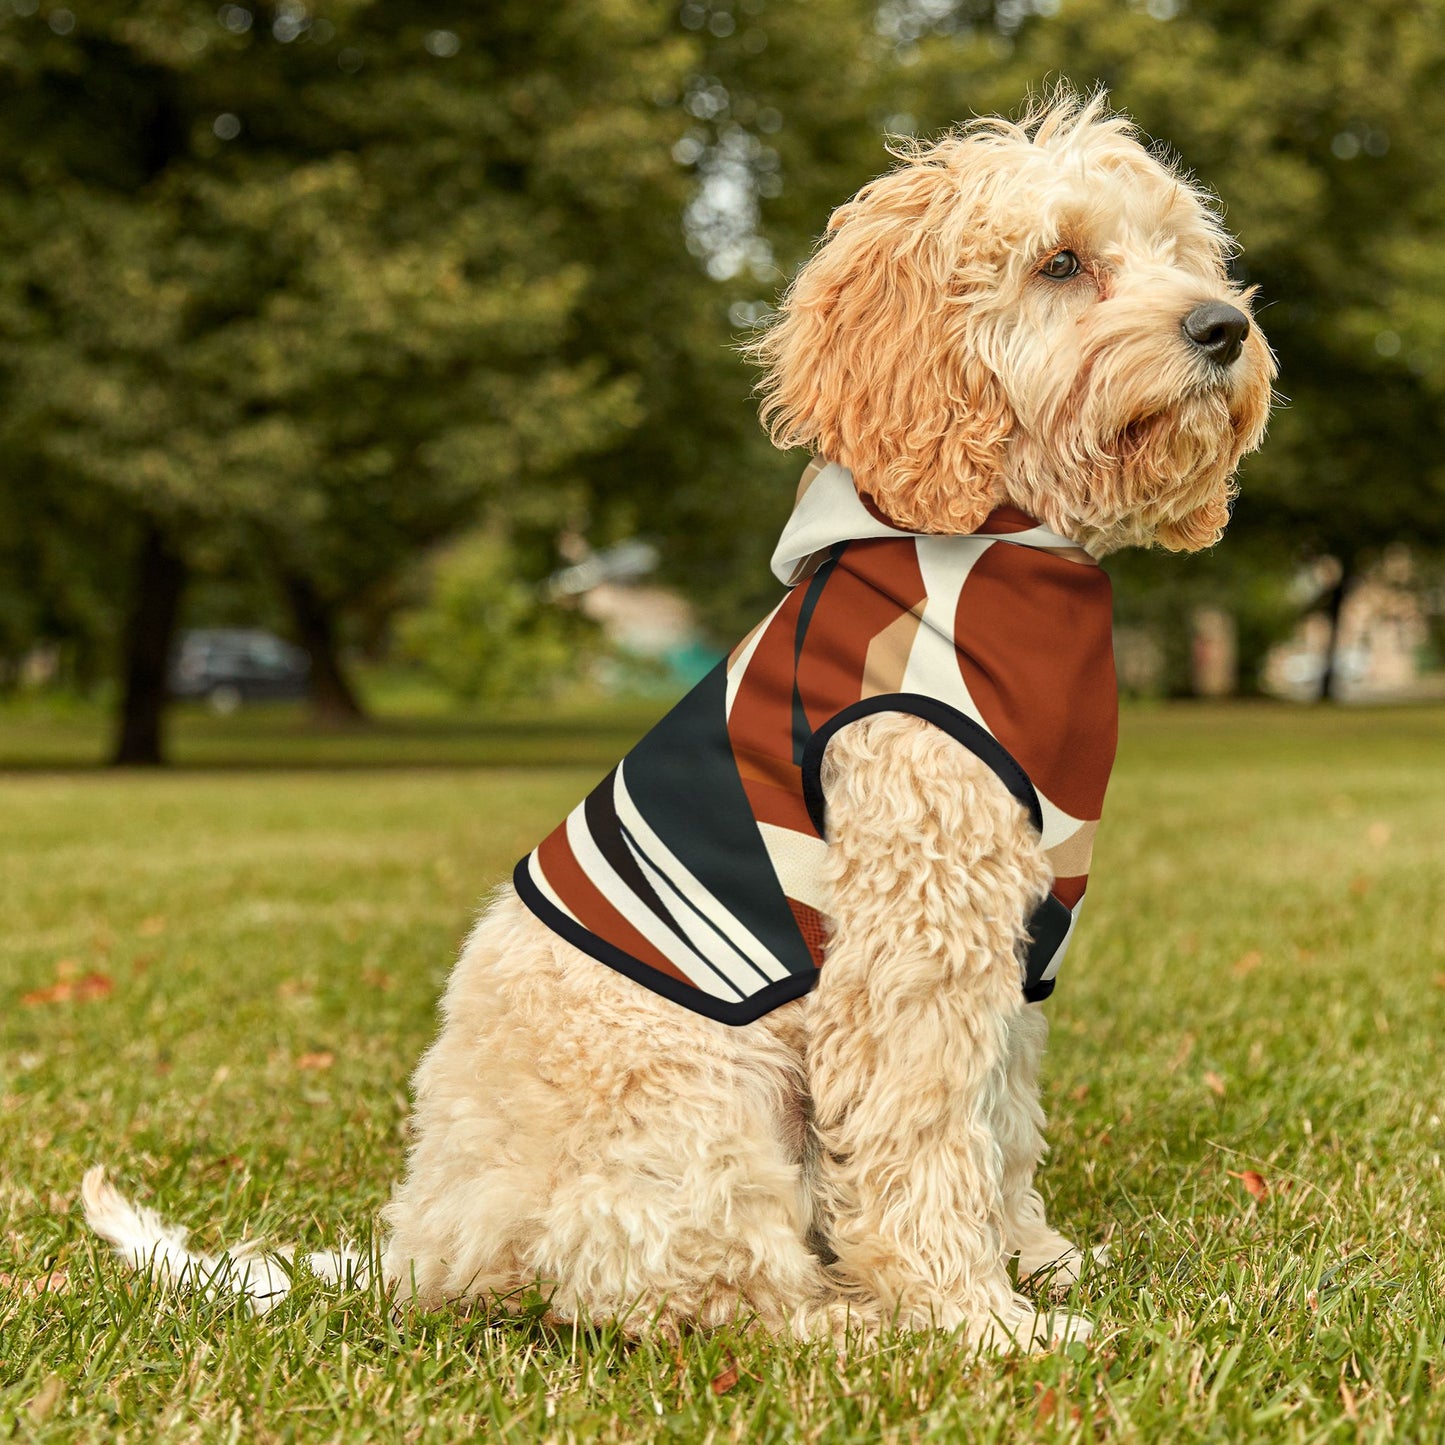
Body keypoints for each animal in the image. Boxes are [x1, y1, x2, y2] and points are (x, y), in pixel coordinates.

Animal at [84, 93, 1271, 1352]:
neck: (1006, 546)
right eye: (1059, 262)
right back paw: (852, 1322)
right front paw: (974, 1317)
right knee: (697, 1290)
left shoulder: (1014, 931)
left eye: (1181, 252)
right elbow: (923, 1136)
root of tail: (425, 1245)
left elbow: (998, 1119)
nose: (1222, 327)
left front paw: (1033, 1259)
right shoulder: (914, 935)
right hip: (703, 1096)